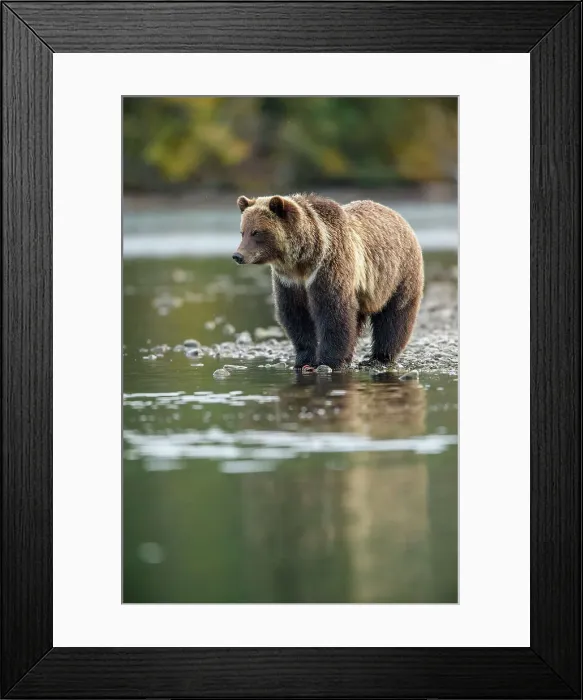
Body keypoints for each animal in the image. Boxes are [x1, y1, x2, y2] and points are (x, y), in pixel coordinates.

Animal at [232, 193, 424, 370]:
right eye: (242, 232)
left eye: (256, 232)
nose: (238, 255)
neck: (302, 261)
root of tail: (396, 214)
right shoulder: (289, 281)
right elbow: (295, 315)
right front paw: (304, 359)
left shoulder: (327, 268)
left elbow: (333, 313)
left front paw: (329, 360)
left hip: (399, 274)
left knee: (394, 316)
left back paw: (380, 357)